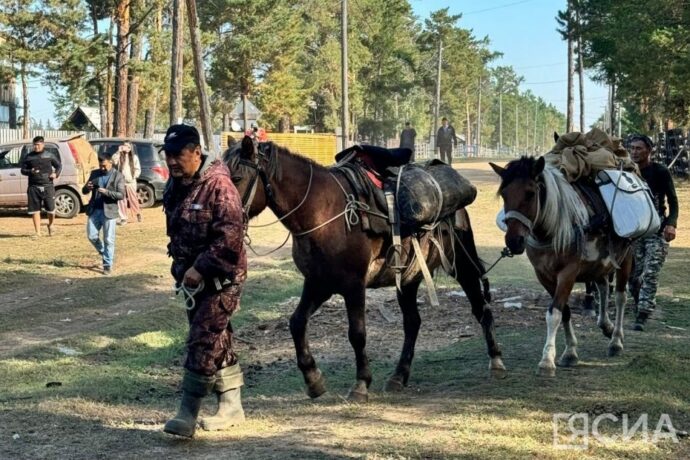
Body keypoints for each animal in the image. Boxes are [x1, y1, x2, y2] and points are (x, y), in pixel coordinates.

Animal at [226, 138, 506, 400]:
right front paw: (313, 379)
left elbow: (357, 334)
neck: (323, 211)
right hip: (409, 277)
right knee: (412, 322)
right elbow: (296, 323)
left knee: (480, 307)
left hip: (462, 264)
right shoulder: (318, 283)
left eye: (237, 177)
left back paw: (496, 360)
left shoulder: (353, 285)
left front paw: (361, 383)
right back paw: (399, 376)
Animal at [490, 156, 628, 376]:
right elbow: (564, 312)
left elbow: (554, 313)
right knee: (604, 286)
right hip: (599, 263)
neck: (553, 228)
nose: (513, 241)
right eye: (504, 194)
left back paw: (616, 340)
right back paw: (605, 325)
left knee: (621, 297)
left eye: (530, 194)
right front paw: (570, 352)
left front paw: (547, 360)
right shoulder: (544, 276)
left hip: (627, 256)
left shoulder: (567, 274)